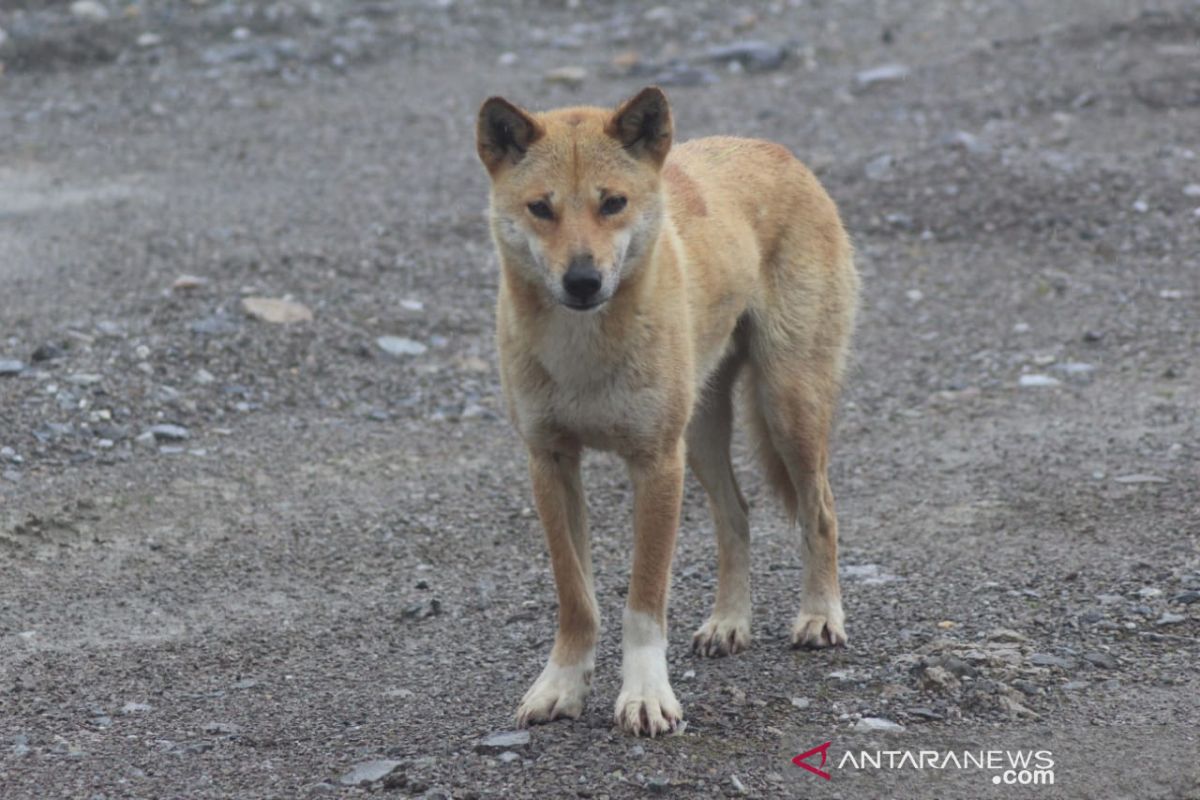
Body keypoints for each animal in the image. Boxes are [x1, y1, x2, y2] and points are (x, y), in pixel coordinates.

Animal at [472, 89, 859, 738]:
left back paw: (820, 615)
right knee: (737, 515)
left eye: (612, 203)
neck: (585, 350)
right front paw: (562, 685)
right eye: (541, 209)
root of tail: (777, 152)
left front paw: (646, 696)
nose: (582, 280)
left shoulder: (655, 464)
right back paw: (730, 622)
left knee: (820, 510)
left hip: (788, 405)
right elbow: (576, 597)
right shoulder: (550, 462)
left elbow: (644, 603)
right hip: (701, 433)